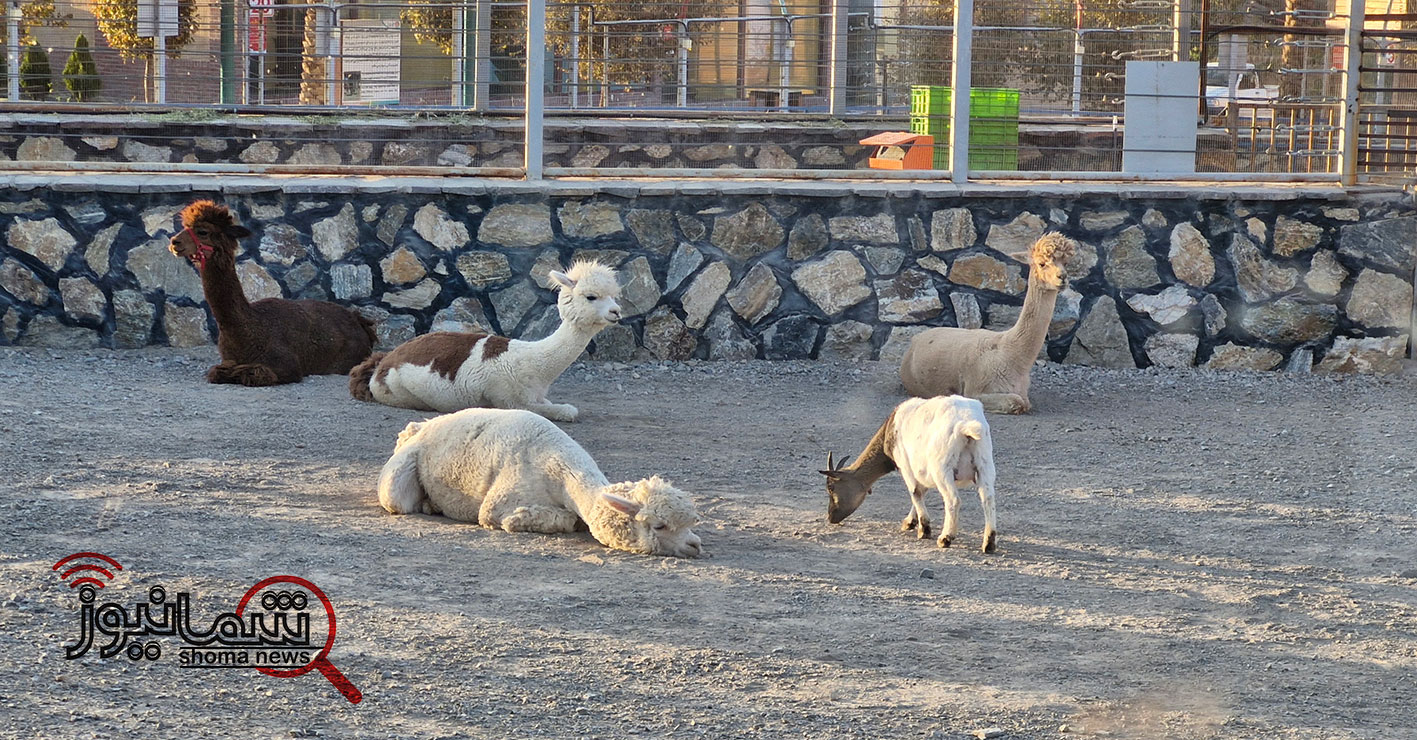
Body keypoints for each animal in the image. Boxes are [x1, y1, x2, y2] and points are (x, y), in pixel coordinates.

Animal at [349, 260, 621, 422]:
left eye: (614, 296)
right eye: (591, 296)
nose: (617, 312)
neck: (532, 363)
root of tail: (383, 362)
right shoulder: (512, 401)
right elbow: (567, 410)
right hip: (399, 393)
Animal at [377, 407, 703, 558]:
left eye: (691, 523)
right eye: (659, 526)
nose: (695, 544)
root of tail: (422, 426)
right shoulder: (499, 502)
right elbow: (526, 518)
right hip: (399, 476)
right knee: (396, 498)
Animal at [820, 395, 999, 553]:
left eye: (831, 488)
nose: (831, 517)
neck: (890, 430)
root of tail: (966, 426)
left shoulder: (905, 465)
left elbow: (915, 492)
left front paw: (924, 529)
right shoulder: (921, 471)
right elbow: (921, 491)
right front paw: (910, 522)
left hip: (942, 468)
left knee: (953, 500)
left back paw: (945, 538)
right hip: (984, 464)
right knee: (988, 498)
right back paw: (989, 543)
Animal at [899, 233, 1077, 414]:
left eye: (1066, 263)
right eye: (1042, 263)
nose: (1062, 277)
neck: (1010, 353)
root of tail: (915, 339)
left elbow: (1025, 401)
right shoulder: (974, 390)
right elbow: (1018, 402)